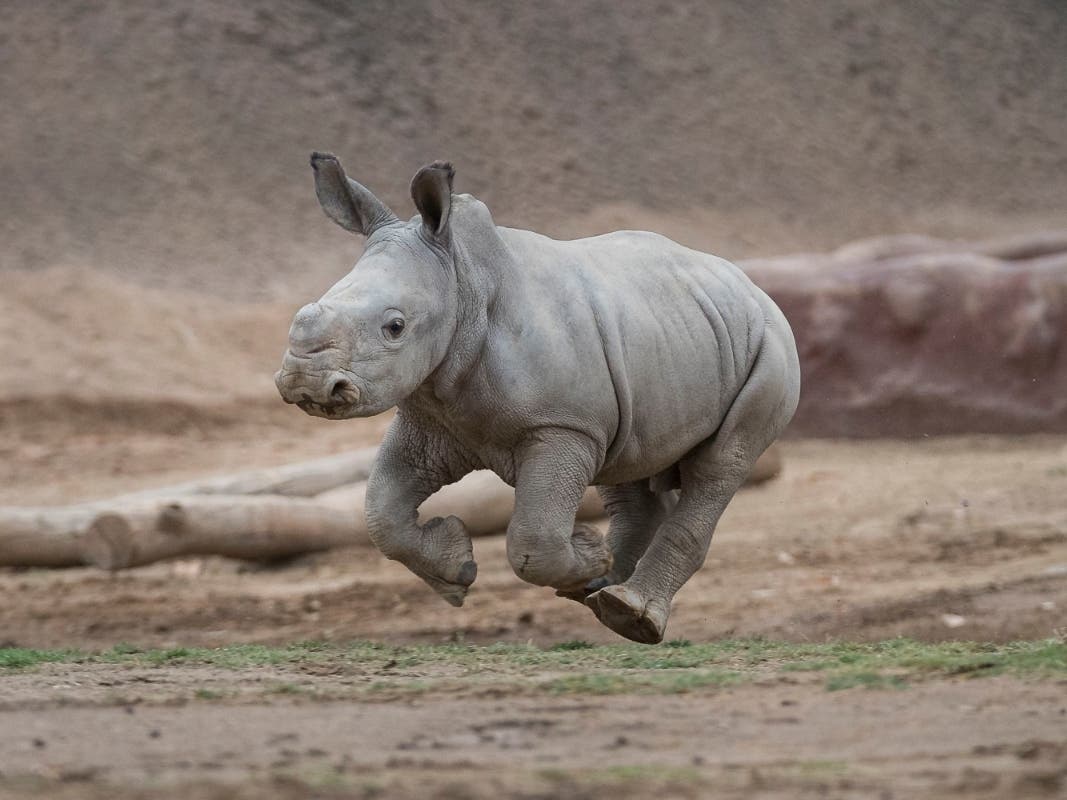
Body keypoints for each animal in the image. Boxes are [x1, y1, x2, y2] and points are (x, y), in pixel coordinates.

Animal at [275, 153, 801, 643]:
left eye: (395, 327)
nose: (304, 380)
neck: (463, 282)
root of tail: (749, 284)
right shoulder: (432, 421)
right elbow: (380, 512)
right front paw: (458, 573)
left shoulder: (562, 425)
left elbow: (534, 540)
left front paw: (583, 549)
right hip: (658, 338)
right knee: (627, 457)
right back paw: (598, 588)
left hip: (770, 348)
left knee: (719, 466)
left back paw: (630, 615)